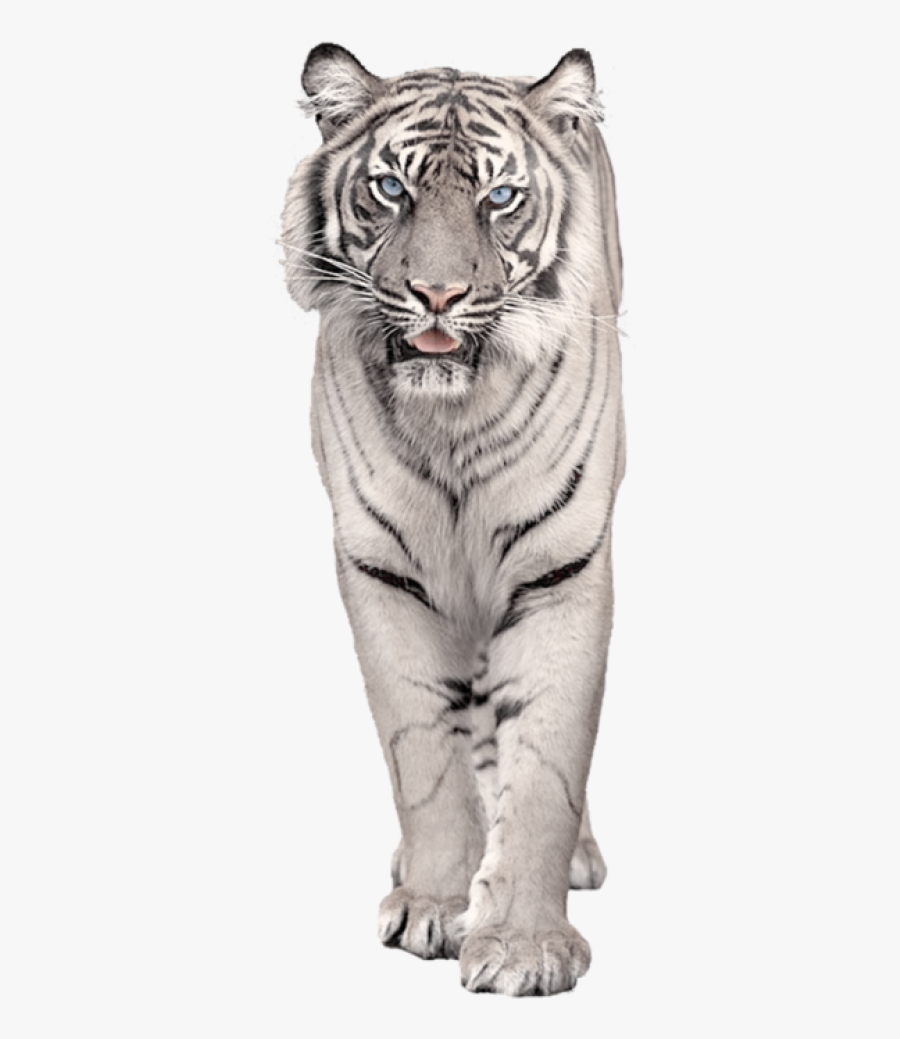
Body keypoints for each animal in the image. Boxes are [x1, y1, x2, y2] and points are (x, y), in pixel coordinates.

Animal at [281, 43, 625, 997]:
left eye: (499, 197)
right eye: (391, 188)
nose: (437, 293)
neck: (454, 419)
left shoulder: (561, 568)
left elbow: (546, 759)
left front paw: (524, 945)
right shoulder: (382, 572)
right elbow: (424, 753)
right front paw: (438, 902)